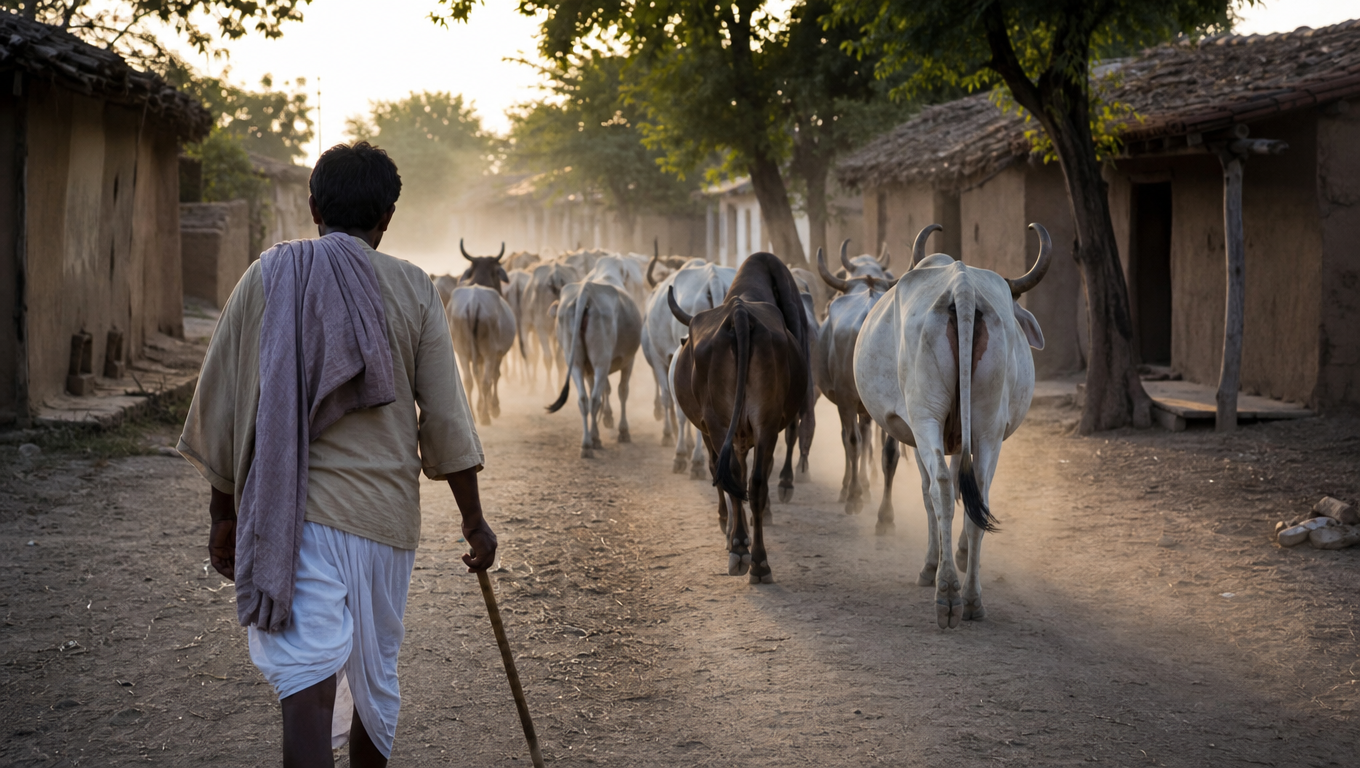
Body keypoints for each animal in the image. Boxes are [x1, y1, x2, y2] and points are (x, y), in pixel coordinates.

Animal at [445, 240, 517, 425]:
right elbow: (495, 376)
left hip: (462, 351)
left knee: (469, 380)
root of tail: (473, 303)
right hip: (489, 351)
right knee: (486, 380)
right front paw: (494, 407)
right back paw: (485, 416)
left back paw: (473, 414)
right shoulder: (498, 353)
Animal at [546, 262, 643, 458]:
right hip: (601, 362)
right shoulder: (628, 361)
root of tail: (586, 291)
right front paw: (623, 431)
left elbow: (599, 391)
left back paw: (587, 443)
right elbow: (622, 391)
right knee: (596, 398)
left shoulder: (589, 369)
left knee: (584, 399)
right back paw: (594, 441)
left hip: (576, 362)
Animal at [667, 252, 812, 584]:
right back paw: (756, 559)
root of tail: (740, 315)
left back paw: (743, 550)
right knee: (754, 482)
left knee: (733, 475)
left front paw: (728, 526)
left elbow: (719, 471)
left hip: (721, 423)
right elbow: (746, 476)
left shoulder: (711, 431)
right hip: (761, 423)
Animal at [814, 240, 900, 519]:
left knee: (853, 442)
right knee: (887, 451)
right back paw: (885, 515)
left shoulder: (845, 402)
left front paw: (852, 489)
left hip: (848, 401)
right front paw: (864, 486)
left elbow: (850, 440)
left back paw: (852, 497)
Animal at [854, 223, 1050, 628]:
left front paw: (932, 565)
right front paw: (958, 554)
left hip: (925, 415)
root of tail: (962, 285)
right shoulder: (966, 438)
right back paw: (972, 599)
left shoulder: (918, 433)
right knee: (980, 493)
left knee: (940, 488)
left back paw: (945, 593)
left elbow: (931, 493)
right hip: (989, 425)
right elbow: (968, 491)